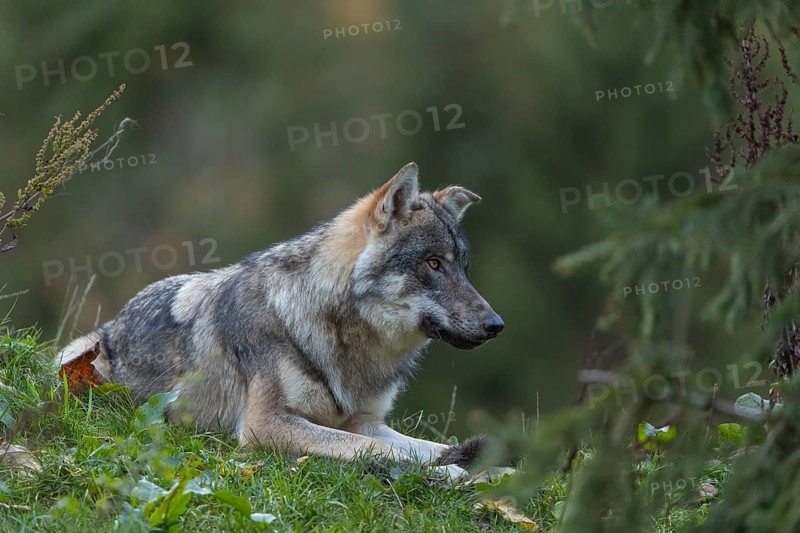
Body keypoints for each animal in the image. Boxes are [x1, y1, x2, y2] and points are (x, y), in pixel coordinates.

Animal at [58, 162, 504, 479]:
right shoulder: (266, 425)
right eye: (434, 263)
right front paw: (451, 474)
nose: (496, 325)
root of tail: (114, 324)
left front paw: (491, 471)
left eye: (463, 267)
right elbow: (387, 452)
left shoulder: (365, 422)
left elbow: (427, 446)